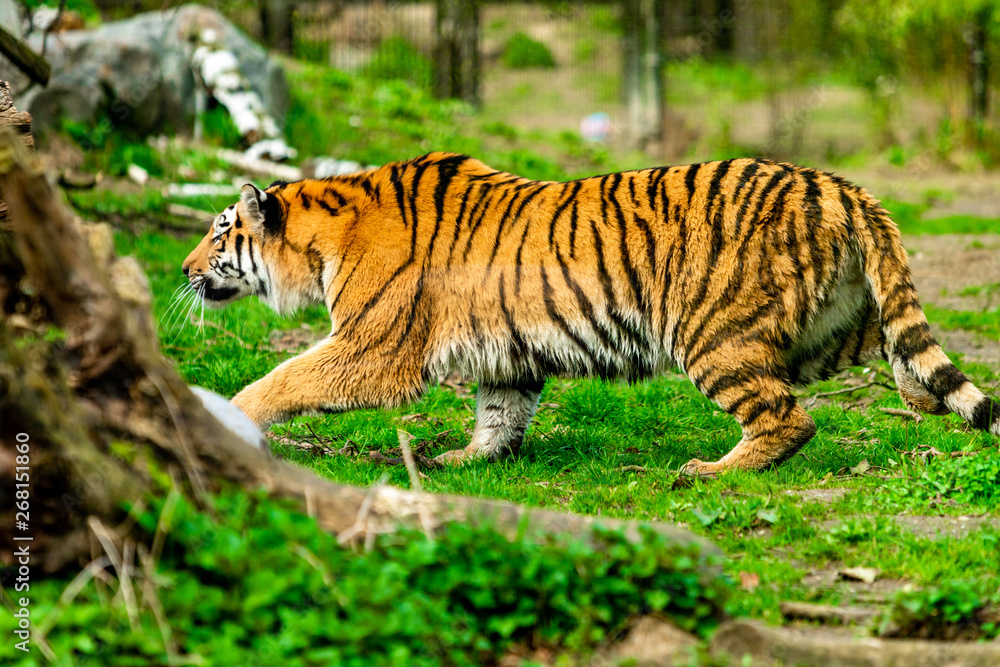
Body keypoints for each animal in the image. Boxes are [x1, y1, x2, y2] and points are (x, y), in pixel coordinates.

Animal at [181, 152, 1000, 475]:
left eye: (221, 233)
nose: (185, 271)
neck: (322, 237)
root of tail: (840, 187)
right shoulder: (505, 352)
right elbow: (500, 414)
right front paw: (469, 459)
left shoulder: (372, 345)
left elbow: (287, 375)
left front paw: (231, 414)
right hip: (844, 316)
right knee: (910, 350)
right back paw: (920, 403)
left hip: (713, 334)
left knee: (788, 417)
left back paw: (712, 471)